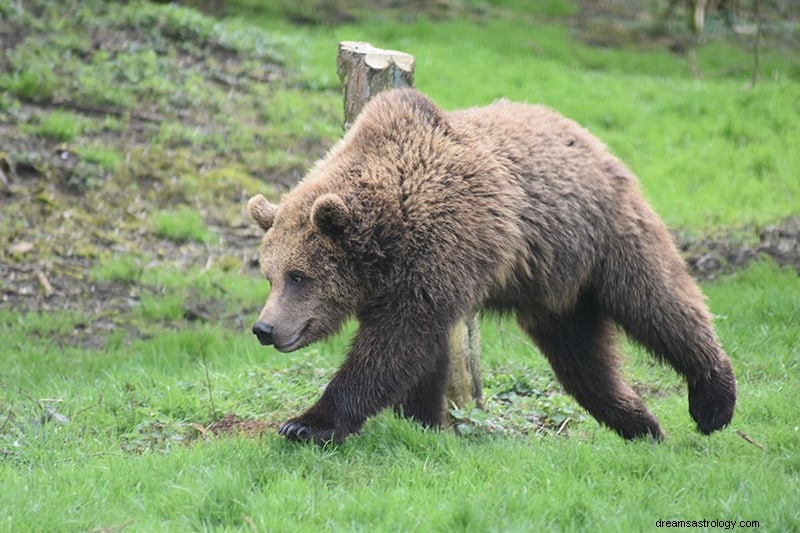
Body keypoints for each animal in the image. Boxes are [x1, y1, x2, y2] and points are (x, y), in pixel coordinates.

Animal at [247, 88, 736, 444]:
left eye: (299, 276)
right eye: (269, 276)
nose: (264, 328)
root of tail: (591, 138)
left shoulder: (446, 244)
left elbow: (394, 344)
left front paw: (306, 423)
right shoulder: (417, 270)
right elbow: (421, 354)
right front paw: (423, 421)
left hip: (603, 236)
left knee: (657, 300)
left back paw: (713, 401)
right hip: (553, 286)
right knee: (582, 358)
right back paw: (641, 424)